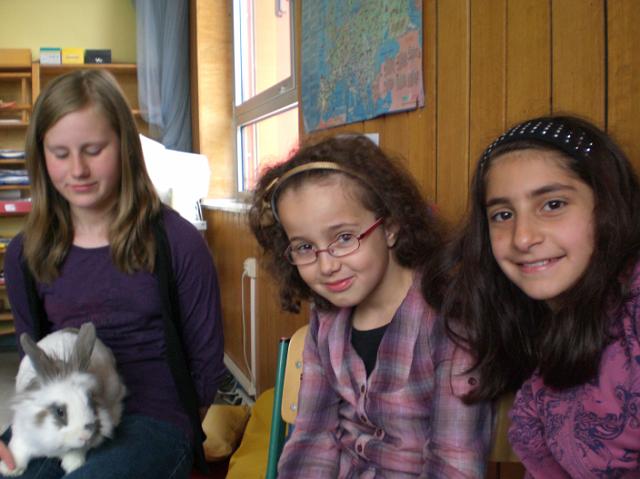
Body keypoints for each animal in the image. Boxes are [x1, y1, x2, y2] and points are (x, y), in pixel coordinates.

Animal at [0, 322, 126, 476]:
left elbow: (76, 453)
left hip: (115, 387)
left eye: (91, 402)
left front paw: (72, 465)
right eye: (60, 411)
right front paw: (9, 469)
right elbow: (18, 450)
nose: (85, 437)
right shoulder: (21, 433)